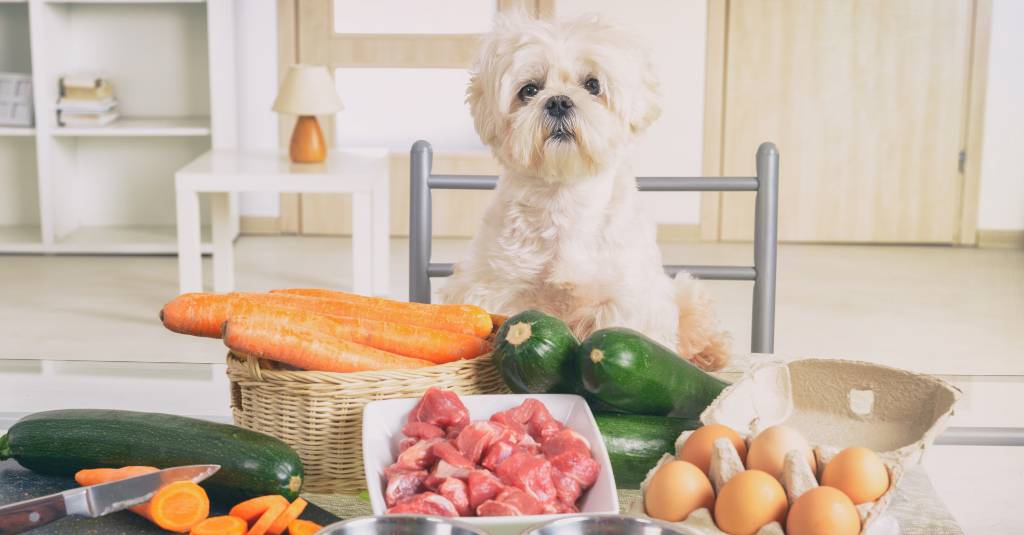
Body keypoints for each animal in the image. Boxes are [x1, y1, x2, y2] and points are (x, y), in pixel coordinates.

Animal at [444, 13, 733, 371]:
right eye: (529, 90)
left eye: (593, 85)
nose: (557, 101)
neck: (565, 197)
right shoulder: (497, 287)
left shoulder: (623, 299)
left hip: (683, 291)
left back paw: (708, 354)